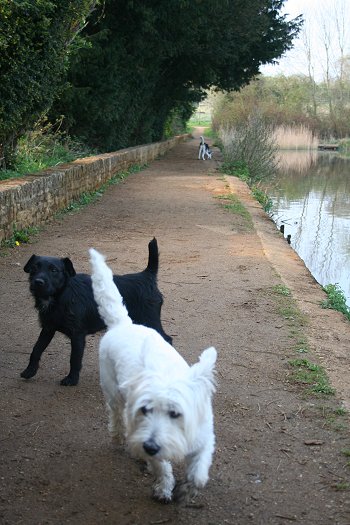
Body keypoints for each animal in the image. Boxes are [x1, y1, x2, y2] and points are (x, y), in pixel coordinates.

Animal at [21, 237, 172, 384]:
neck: (60, 295)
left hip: (150, 320)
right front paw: (29, 371)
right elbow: (36, 349)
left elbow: (74, 359)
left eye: (54, 270)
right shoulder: (48, 328)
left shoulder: (77, 335)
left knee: (167, 339)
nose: (38, 282)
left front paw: (72, 379)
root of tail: (147, 275)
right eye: (34, 268)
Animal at [89, 248, 217, 502]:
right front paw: (164, 488)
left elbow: (198, 474)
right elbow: (162, 467)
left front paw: (187, 489)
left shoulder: (204, 438)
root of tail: (123, 324)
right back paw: (121, 439)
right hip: (112, 391)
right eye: (145, 409)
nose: (149, 446)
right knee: (116, 417)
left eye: (175, 413)